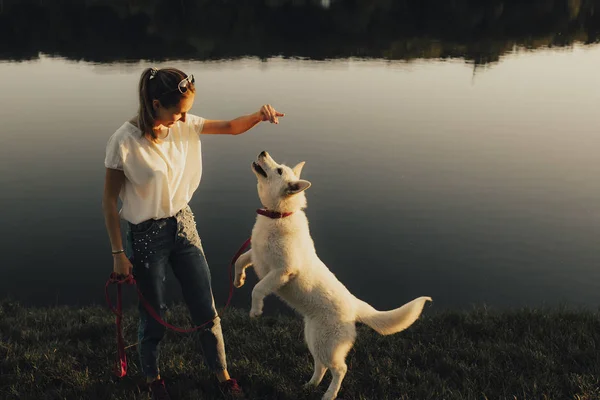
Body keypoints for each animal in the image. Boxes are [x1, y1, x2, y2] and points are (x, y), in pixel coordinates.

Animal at [233, 151, 432, 400]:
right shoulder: (256, 254)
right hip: (314, 339)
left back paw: (329, 394)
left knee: (340, 369)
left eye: (279, 170)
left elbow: (258, 288)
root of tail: (356, 307)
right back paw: (311, 385)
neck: (278, 215)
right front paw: (238, 280)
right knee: (321, 366)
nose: (263, 152)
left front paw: (255, 310)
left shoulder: (282, 270)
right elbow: (239, 261)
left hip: (327, 344)